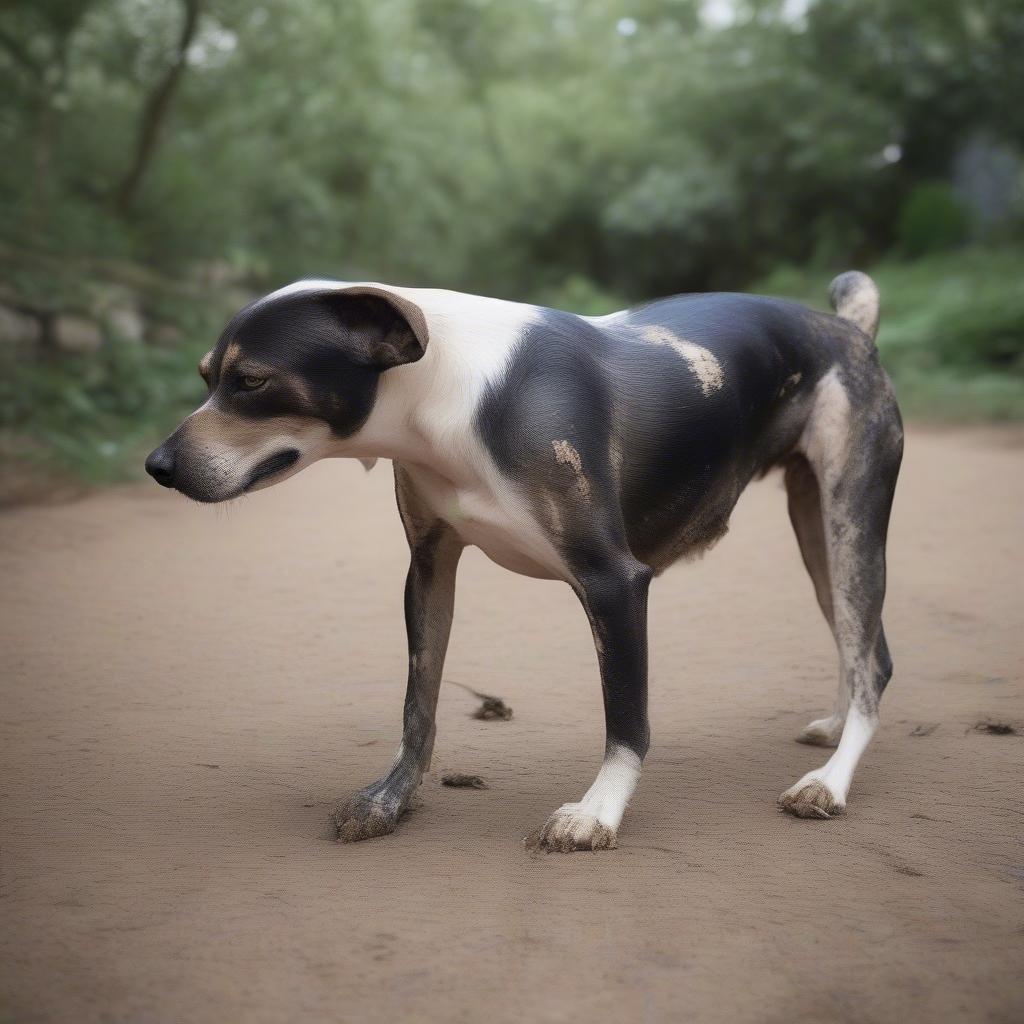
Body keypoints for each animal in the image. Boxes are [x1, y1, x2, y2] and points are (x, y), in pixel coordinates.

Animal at [146, 270, 905, 847]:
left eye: (251, 381)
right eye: (207, 377)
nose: (157, 466)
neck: (451, 392)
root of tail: (849, 331)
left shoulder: (613, 584)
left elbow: (626, 718)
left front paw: (599, 811)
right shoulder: (428, 568)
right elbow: (417, 707)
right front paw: (391, 799)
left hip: (850, 524)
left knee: (873, 659)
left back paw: (830, 783)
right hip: (818, 535)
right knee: (860, 645)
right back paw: (836, 729)